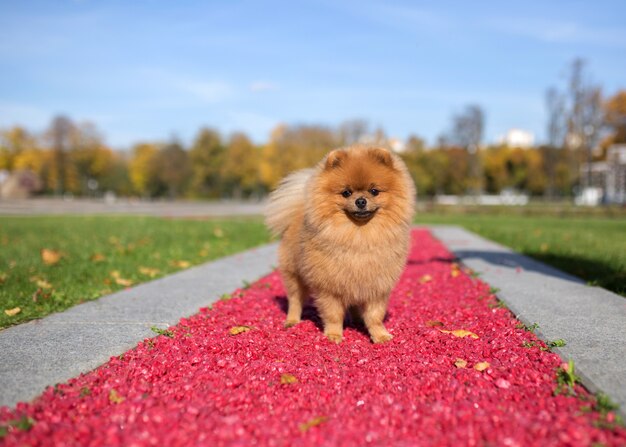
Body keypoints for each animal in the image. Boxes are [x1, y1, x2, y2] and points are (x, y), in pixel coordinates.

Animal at [264, 145, 414, 344]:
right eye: (346, 193)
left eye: (374, 191)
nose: (360, 201)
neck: (359, 235)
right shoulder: (329, 287)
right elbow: (333, 314)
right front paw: (334, 335)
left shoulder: (376, 286)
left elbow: (375, 316)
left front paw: (380, 335)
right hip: (294, 274)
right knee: (295, 300)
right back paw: (292, 320)